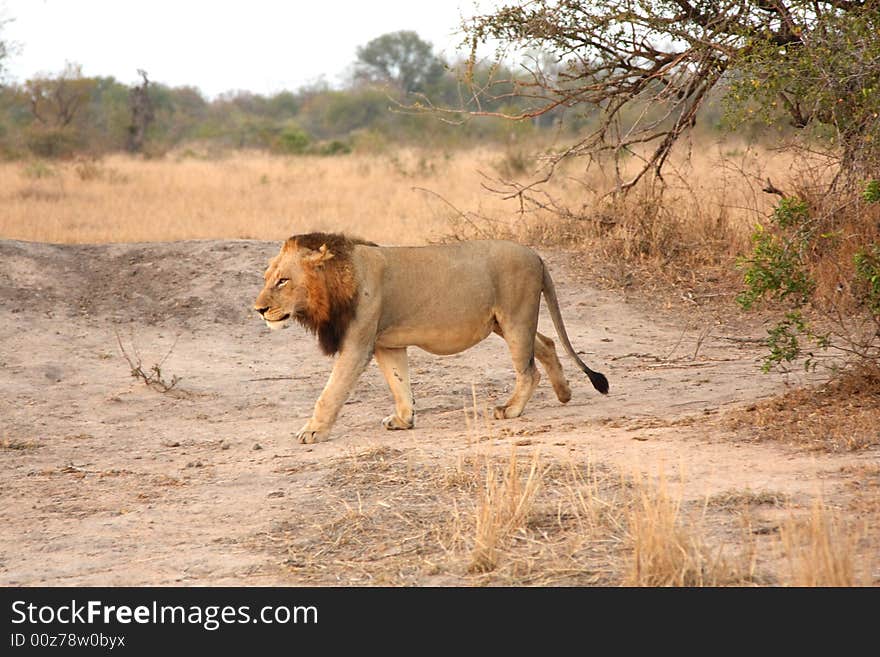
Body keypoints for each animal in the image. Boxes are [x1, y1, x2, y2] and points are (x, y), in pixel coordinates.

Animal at [253, 233, 604, 444]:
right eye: (267, 278)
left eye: (283, 281)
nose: (259, 309)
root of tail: (537, 256)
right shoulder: (387, 344)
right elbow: (399, 383)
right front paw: (403, 420)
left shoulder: (358, 344)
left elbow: (331, 392)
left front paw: (312, 431)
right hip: (503, 324)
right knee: (546, 344)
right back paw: (564, 393)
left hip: (516, 317)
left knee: (528, 370)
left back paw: (511, 409)